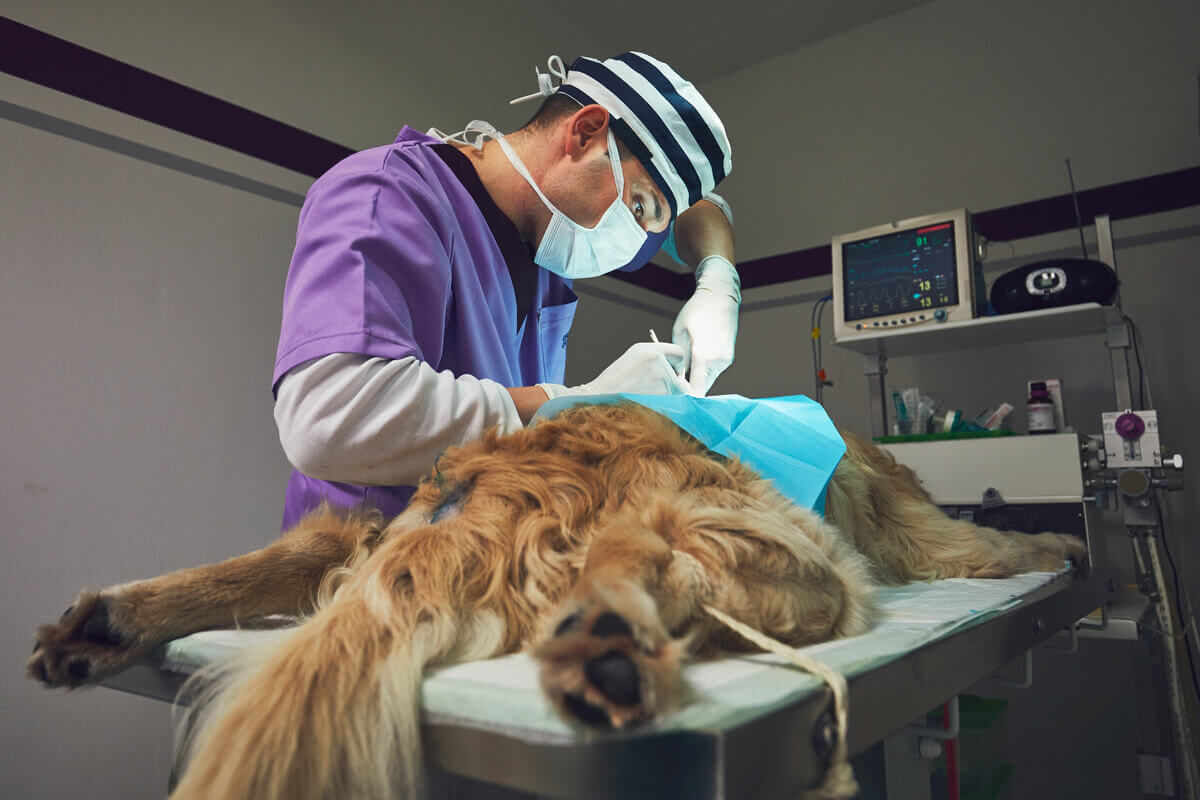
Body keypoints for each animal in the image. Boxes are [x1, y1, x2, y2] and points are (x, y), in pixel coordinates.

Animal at [28, 402, 1084, 796]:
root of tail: (497, 480)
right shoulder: (911, 530)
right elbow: (984, 540)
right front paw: (1058, 542)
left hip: (363, 537)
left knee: (308, 547)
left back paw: (106, 621)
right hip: (798, 550)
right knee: (653, 554)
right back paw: (606, 638)